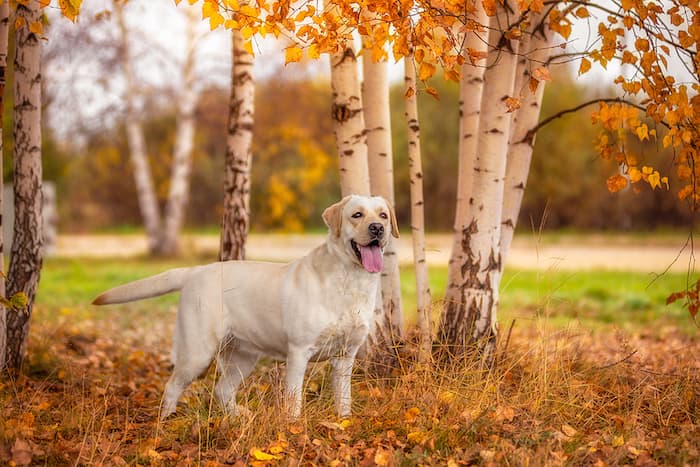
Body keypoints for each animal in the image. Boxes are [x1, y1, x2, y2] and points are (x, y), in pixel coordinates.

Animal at [93, 196, 400, 418]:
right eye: (357, 215)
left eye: (383, 215)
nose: (377, 229)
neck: (350, 281)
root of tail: (194, 271)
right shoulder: (299, 352)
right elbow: (294, 399)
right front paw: (294, 428)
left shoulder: (346, 356)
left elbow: (343, 398)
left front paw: (343, 423)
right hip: (197, 353)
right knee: (172, 387)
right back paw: (164, 423)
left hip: (243, 356)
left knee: (222, 390)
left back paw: (237, 418)